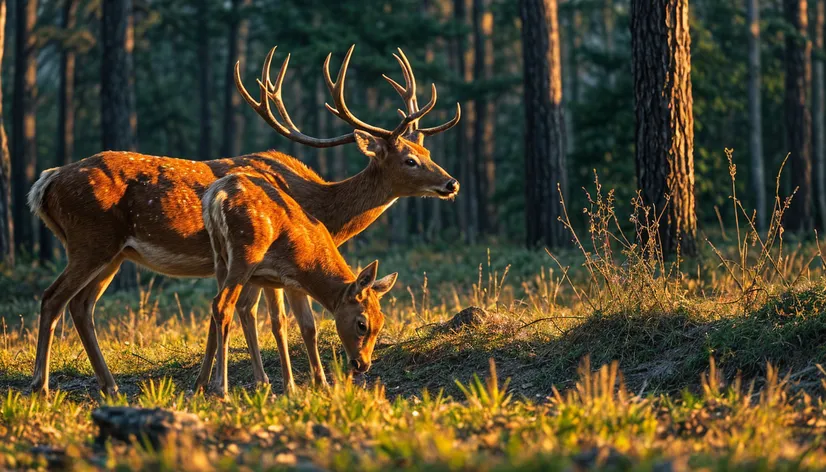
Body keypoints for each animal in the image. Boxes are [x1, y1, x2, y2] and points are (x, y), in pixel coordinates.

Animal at [199, 171, 392, 396]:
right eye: (362, 324)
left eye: (381, 322)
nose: (362, 364)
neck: (312, 264)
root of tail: (216, 195)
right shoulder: (288, 277)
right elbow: (294, 324)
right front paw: (298, 385)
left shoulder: (275, 281)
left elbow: (301, 326)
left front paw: (317, 383)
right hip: (244, 253)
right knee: (222, 304)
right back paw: (222, 389)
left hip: (220, 256)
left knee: (218, 307)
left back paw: (202, 384)